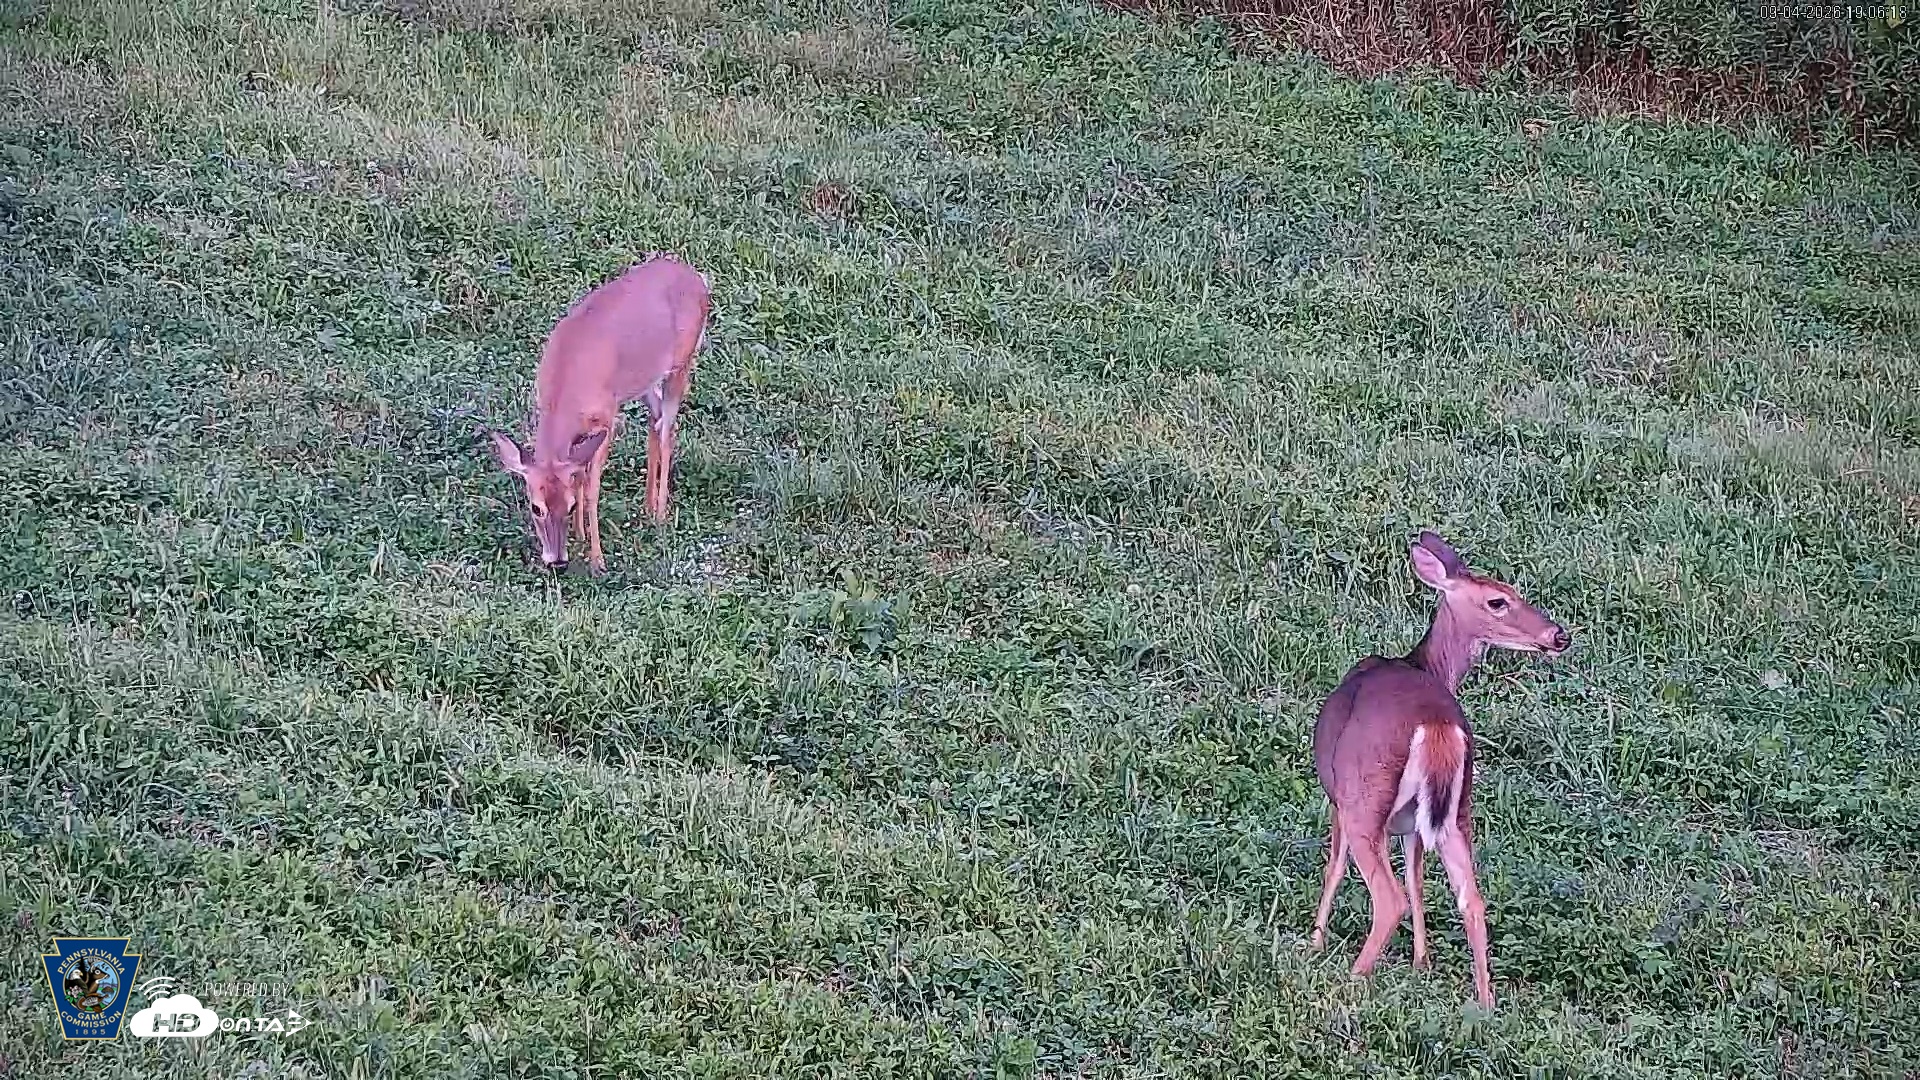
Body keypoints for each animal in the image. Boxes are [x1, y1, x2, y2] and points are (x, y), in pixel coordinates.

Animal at [488, 253, 711, 575]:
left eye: (567, 506)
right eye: (535, 507)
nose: (557, 562)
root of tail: (698, 279)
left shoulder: (606, 417)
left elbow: (592, 486)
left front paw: (597, 559)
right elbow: (579, 475)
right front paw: (580, 537)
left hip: (681, 364)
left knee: (668, 427)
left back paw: (659, 514)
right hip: (642, 382)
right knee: (656, 419)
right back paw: (646, 506)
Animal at [1308, 531, 1571, 1010]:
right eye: (1499, 600)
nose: (1558, 636)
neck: (1422, 663)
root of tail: (1437, 725)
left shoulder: (1336, 797)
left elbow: (1335, 866)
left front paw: (1314, 942)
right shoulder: (1414, 821)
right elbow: (1417, 879)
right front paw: (1421, 962)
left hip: (1364, 797)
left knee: (1388, 897)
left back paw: (1352, 980)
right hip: (1457, 809)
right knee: (1472, 898)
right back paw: (1485, 1004)